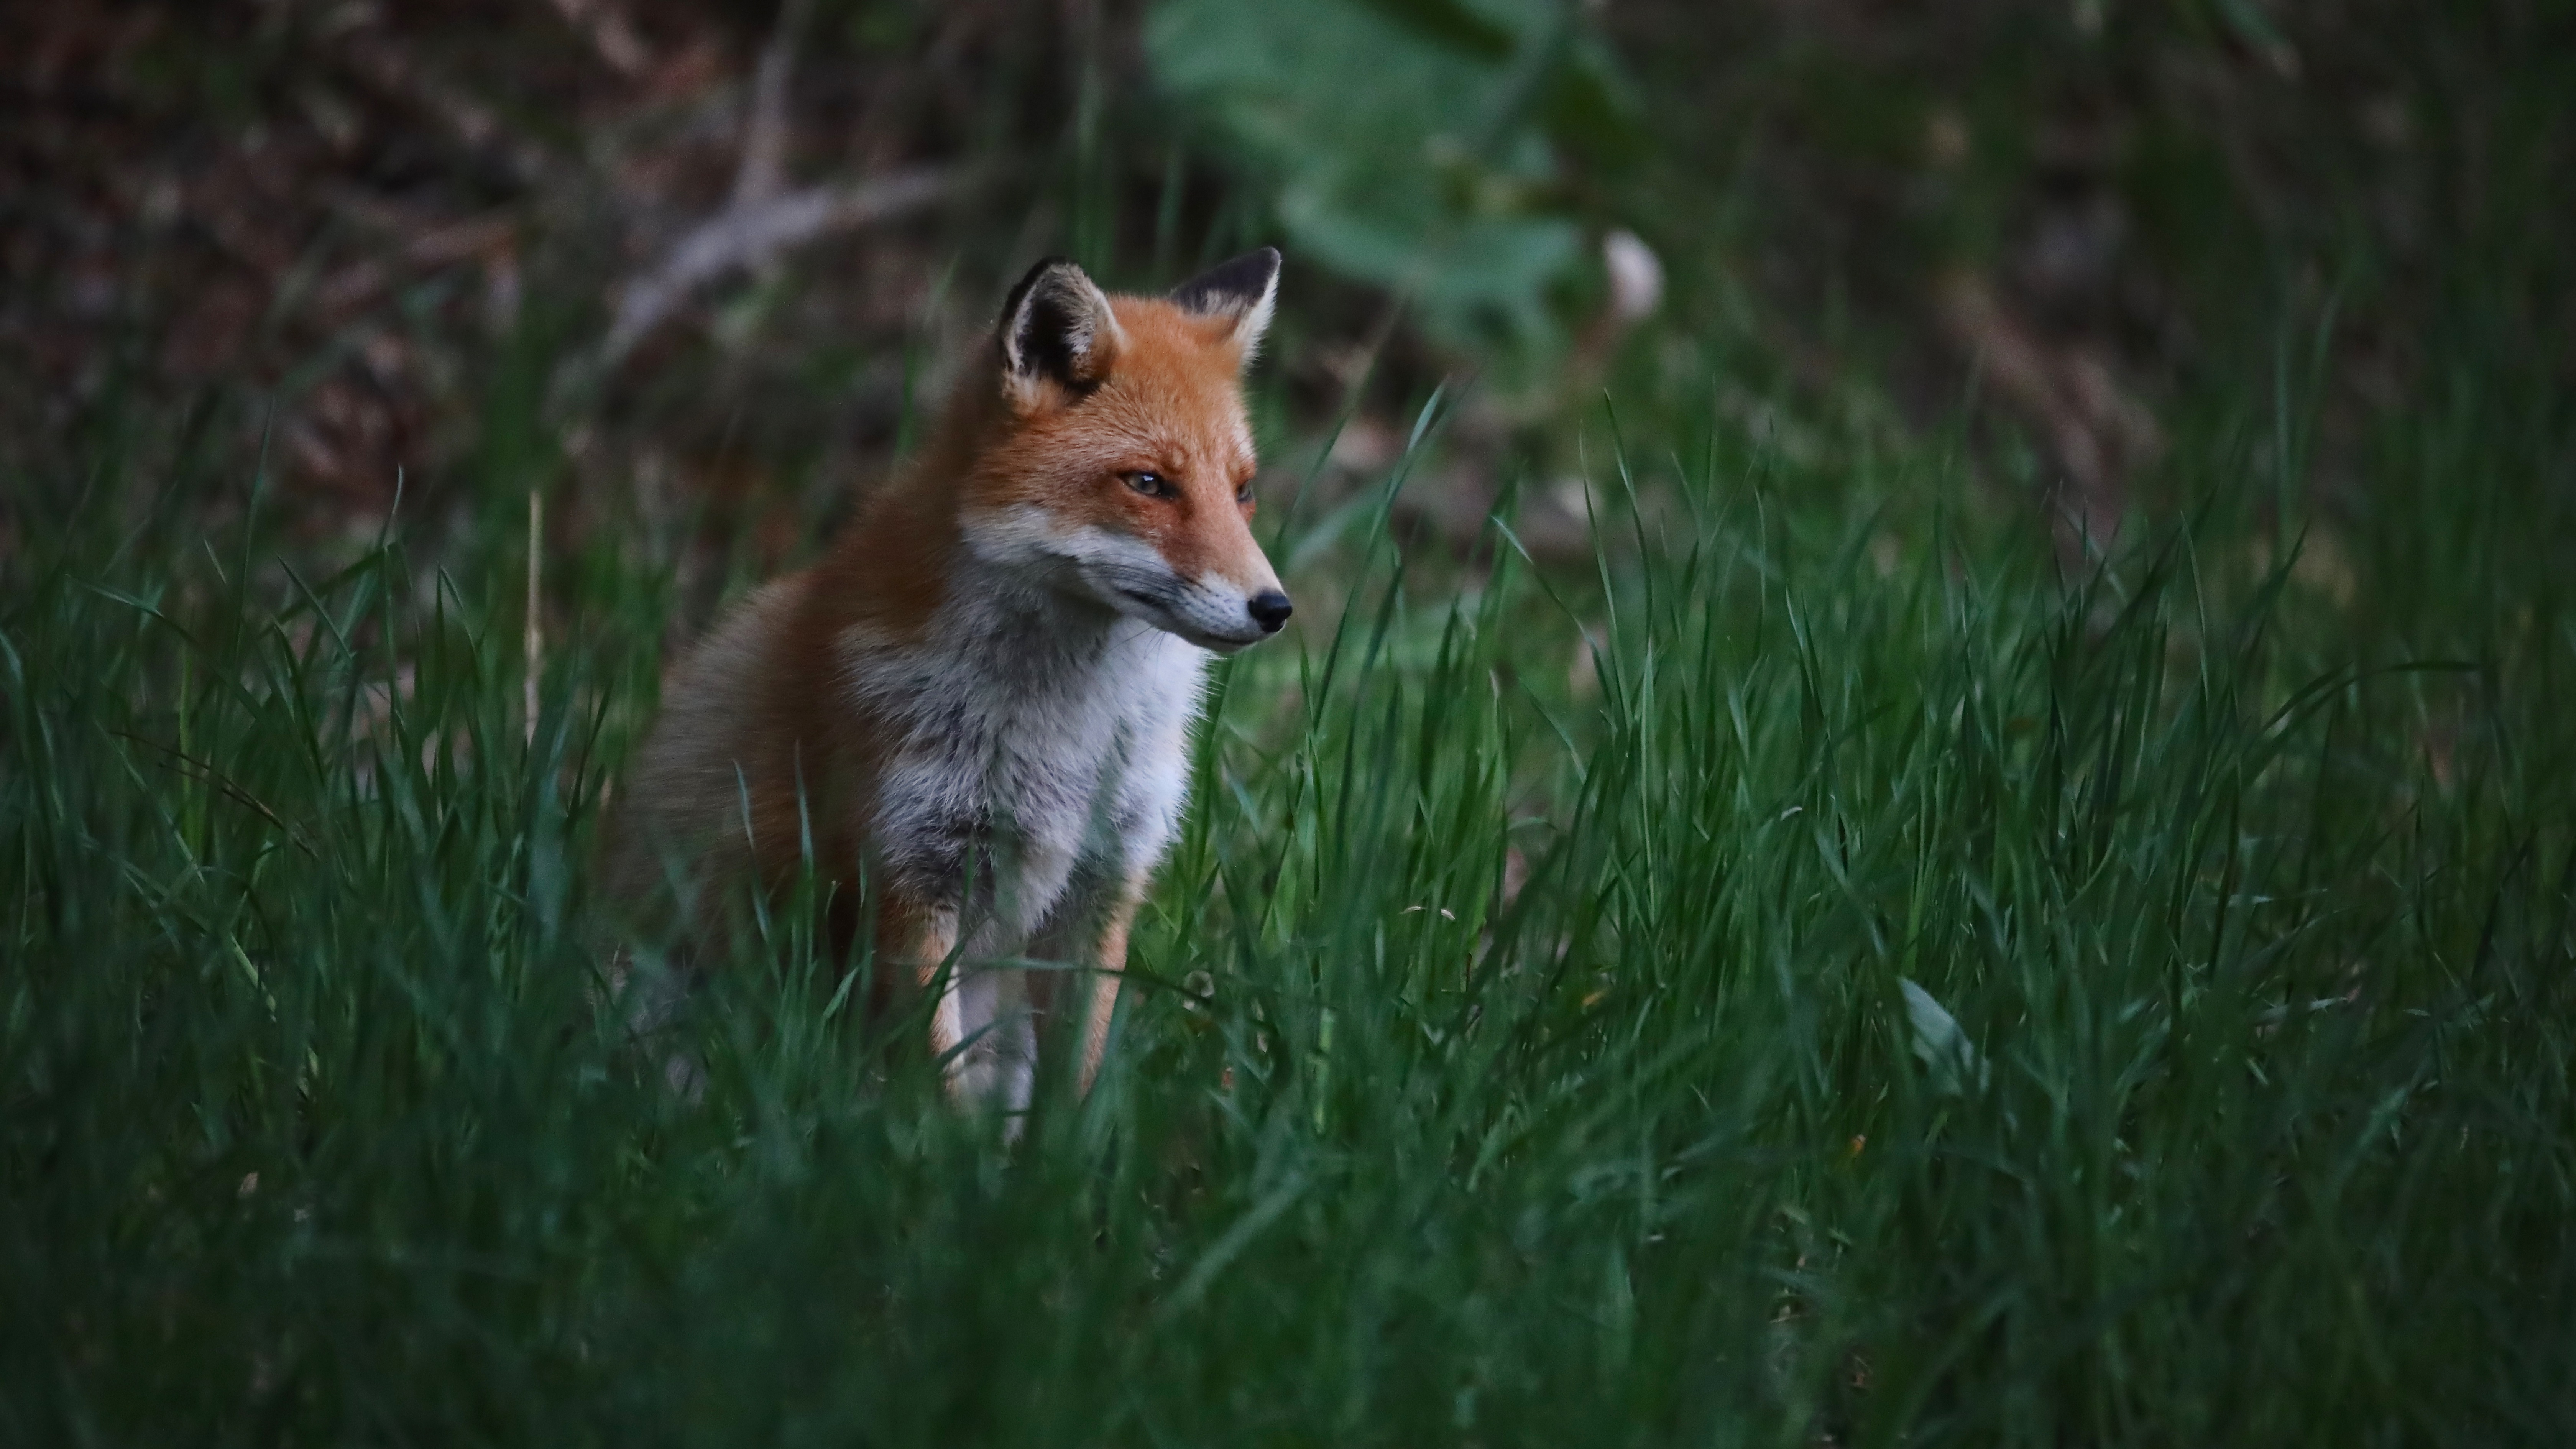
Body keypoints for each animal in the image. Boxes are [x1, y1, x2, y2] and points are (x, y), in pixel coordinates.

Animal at [613, 247, 1298, 1119]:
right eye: (1148, 484)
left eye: (1242, 491)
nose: (1274, 608)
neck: (1066, 738)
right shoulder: (909, 873)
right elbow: (936, 1086)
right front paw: (941, 1157)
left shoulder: (1103, 879)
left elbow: (1075, 1079)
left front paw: (1064, 1158)